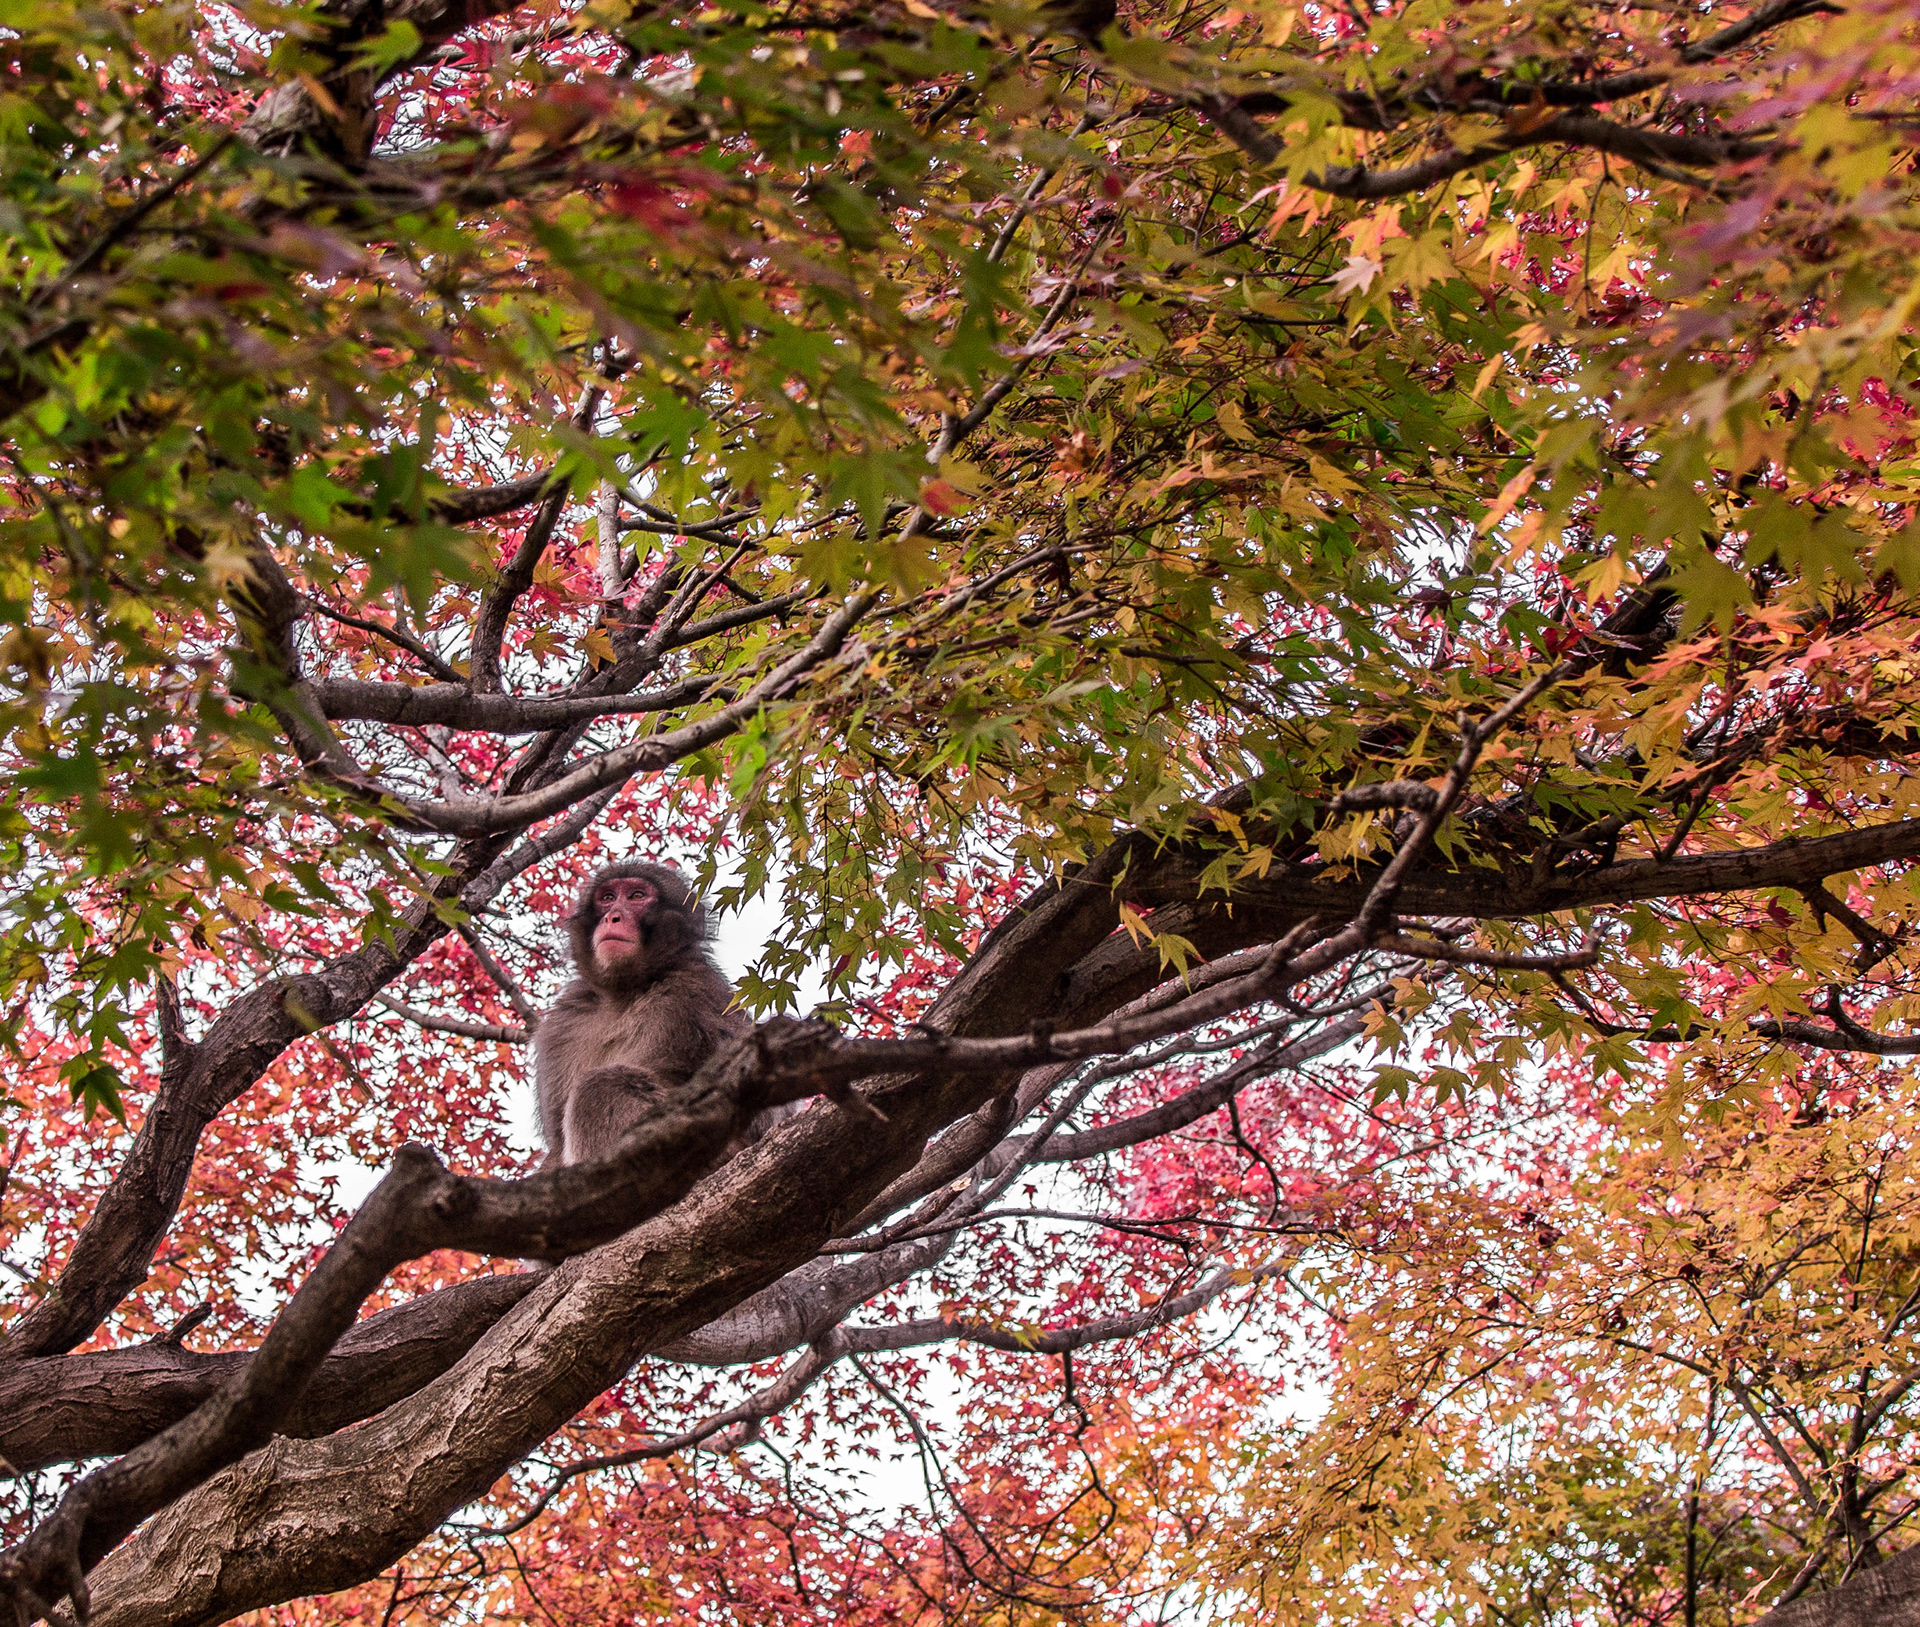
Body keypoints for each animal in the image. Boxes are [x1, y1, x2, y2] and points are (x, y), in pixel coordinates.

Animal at [533, 860, 759, 1172]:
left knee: (602, 1086)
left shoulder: (691, 997)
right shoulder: (564, 1023)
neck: (625, 991)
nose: (613, 917)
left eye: (637, 896)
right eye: (607, 898)